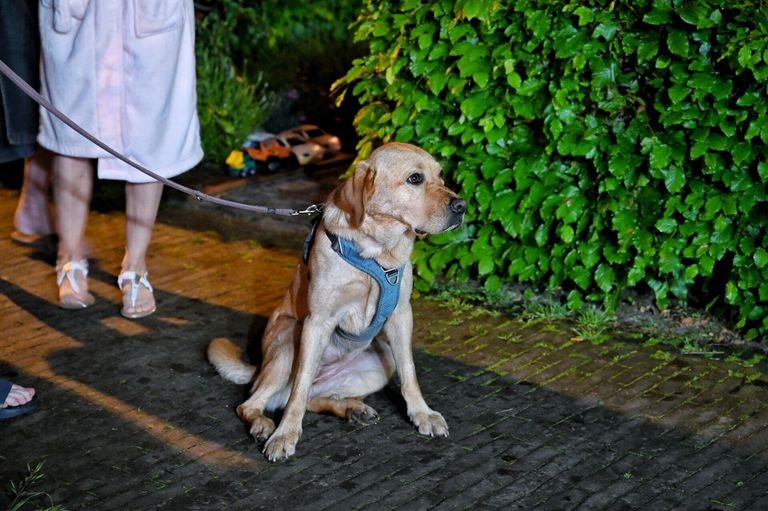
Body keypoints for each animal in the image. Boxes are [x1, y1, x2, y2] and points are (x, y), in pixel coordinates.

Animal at [207, 142, 464, 462]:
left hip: (381, 361)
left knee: (314, 398)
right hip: (287, 342)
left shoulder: (401, 316)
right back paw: (263, 425)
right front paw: (285, 434)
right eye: (415, 178)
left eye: (440, 175)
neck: (375, 253)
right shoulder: (317, 322)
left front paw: (422, 413)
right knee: (256, 402)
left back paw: (353, 409)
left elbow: (410, 373)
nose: (462, 207)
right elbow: (300, 386)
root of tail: (258, 367)